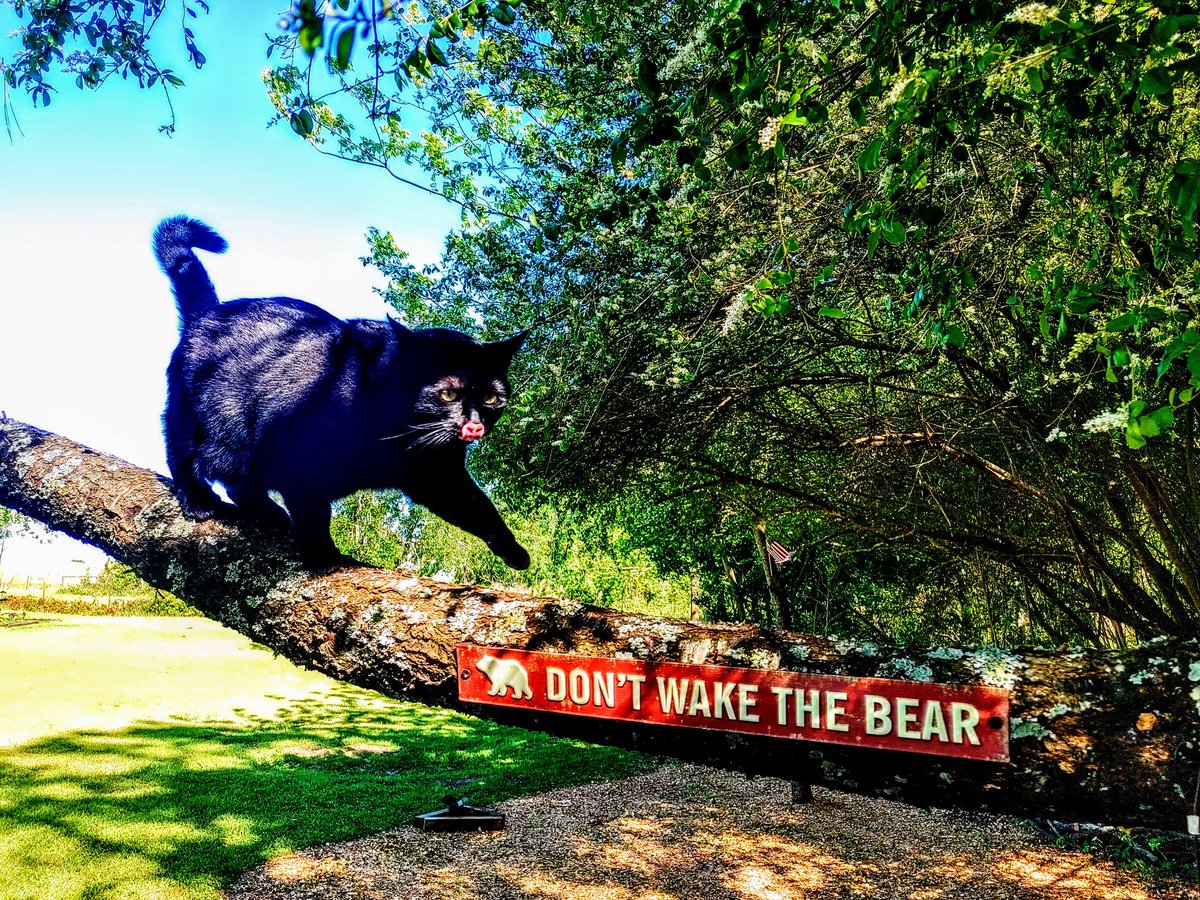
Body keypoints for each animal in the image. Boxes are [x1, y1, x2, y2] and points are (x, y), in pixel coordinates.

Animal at [152, 217, 528, 571]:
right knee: (181, 457)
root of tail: (207, 312)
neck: (395, 435)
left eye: (492, 399)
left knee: (238, 483)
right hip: (194, 421)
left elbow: (479, 507)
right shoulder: (299, 460)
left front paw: (513, 550)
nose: (475, 422)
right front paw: (323, 555)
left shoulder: (438, 473)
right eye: (448, 394)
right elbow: (312, 513)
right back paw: (200, 502)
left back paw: (270, 513)